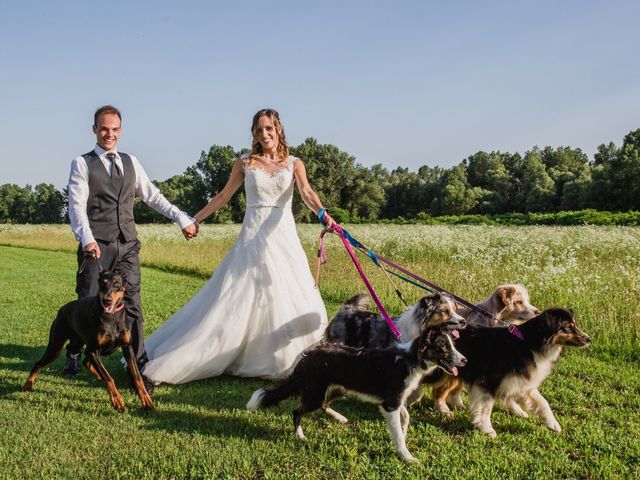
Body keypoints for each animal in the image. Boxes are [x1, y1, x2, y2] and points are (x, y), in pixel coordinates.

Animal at [21, 270, 154, 412]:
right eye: (102, 283)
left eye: (117, 284)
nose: (106, 300)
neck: (112, 317)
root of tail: (62, 309)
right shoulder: (93, 349)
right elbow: (109, 378)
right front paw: (117, 400)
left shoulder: (127, 347)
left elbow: (137, 375)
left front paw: (146, 399)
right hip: (56, 346)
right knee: (39, 363)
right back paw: (27, 385)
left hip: (78, 343)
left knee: (85, 360)